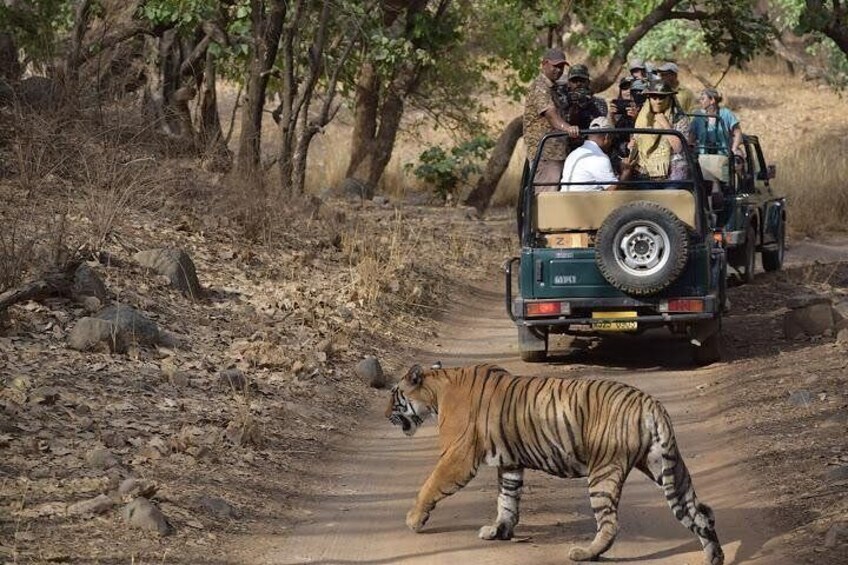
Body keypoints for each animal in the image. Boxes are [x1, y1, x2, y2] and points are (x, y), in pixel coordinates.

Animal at [384, 364, 724, 560]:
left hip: (604, 471)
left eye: (394, 395)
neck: (437, 388)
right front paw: (499, 531)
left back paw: (584, 553)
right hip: (665, 467)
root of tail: (651, 402)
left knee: (611, 523)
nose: (385, 415)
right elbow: (507, 499)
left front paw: (413, 520)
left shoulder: (458, 456)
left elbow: (430, 486)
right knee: (701, 514)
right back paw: (714, 557)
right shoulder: (510, 463)